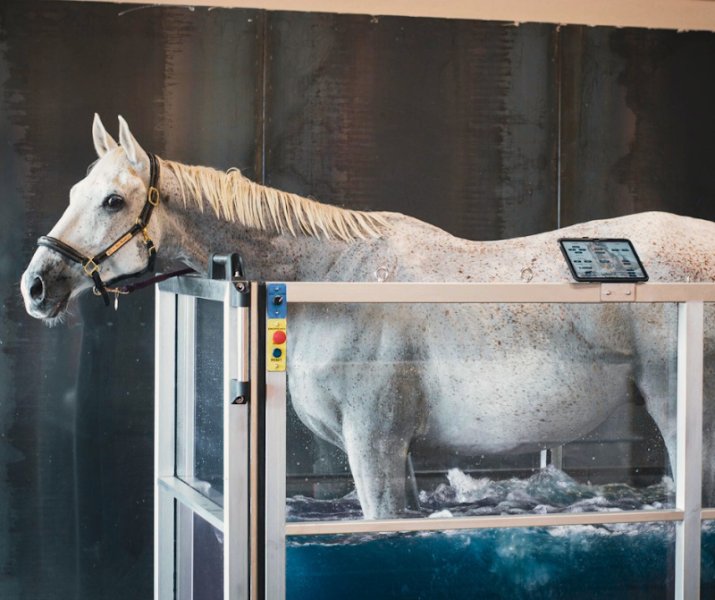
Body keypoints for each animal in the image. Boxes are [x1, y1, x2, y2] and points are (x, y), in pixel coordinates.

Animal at [20, 115, 715, 520]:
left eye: (114, 201)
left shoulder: (374, 443)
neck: (331, 279)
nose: (36, 285)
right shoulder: (395, 453)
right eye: (78, 192)